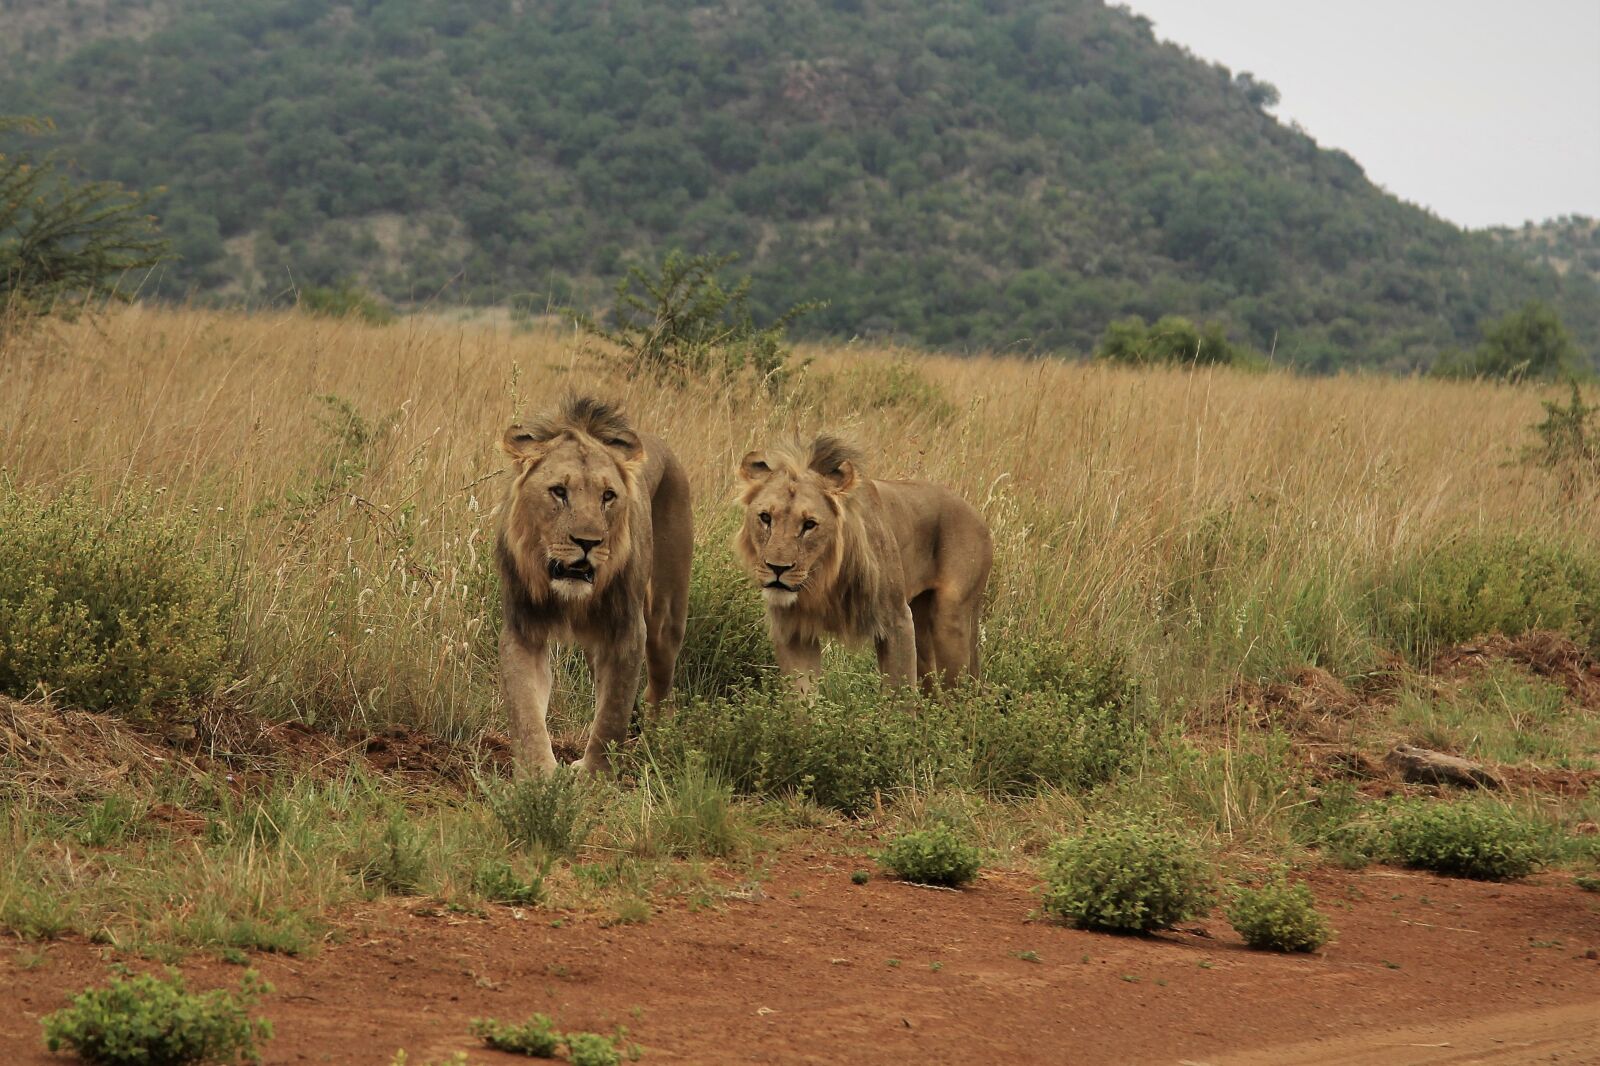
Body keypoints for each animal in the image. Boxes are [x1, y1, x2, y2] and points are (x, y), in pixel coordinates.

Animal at [489, 392, 684, 771]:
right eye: (558, 491)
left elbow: (612, 717)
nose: (588, 542)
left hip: (666, 619)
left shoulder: (627, 632)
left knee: (658, 688)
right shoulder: (523, 630)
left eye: (607, 496)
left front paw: (595, 775)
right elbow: (526, 712)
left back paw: (654, 743)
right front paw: (539, 774)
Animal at [732, 432, 985, 688]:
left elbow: (900, 694)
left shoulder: (897, 620)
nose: (777, 568)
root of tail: (975, 513)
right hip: (922, 624)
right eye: (765, 518)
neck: (823, 578)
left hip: (951, 621)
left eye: (809, 524)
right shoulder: (793, 631)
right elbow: (802, 695)